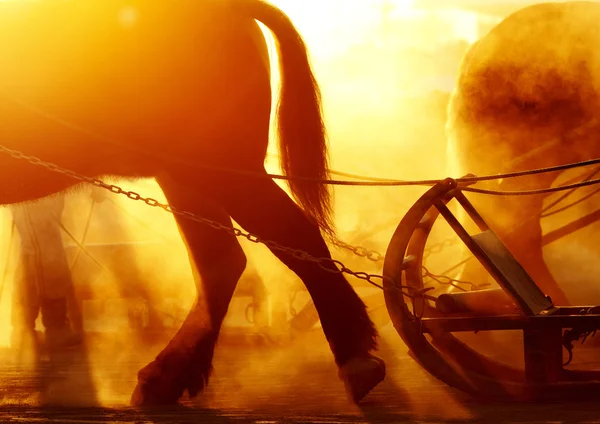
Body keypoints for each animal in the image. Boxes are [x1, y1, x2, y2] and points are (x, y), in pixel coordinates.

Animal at [0, 0, 384, 406]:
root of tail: (230, 11)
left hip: (220, 168)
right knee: (221, 262)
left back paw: (355, 359)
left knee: (294, 237)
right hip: (184, 176)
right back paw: (168, 376)